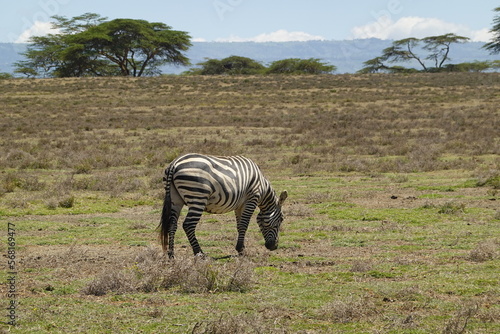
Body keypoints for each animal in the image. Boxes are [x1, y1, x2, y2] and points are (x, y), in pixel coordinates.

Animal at [158, 153, 288, 258]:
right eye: (281, 219)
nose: (273, 247)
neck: (262, 187)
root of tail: (174, 164)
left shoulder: (239, 205)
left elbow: (239, 226)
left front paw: (240, 249)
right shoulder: (251, 199)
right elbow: (244, 225)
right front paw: (241, 249)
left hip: (175, 199)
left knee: (172, 224)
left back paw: (171, 254)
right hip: (198, 196)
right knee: (188, 225)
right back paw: (200, 253)